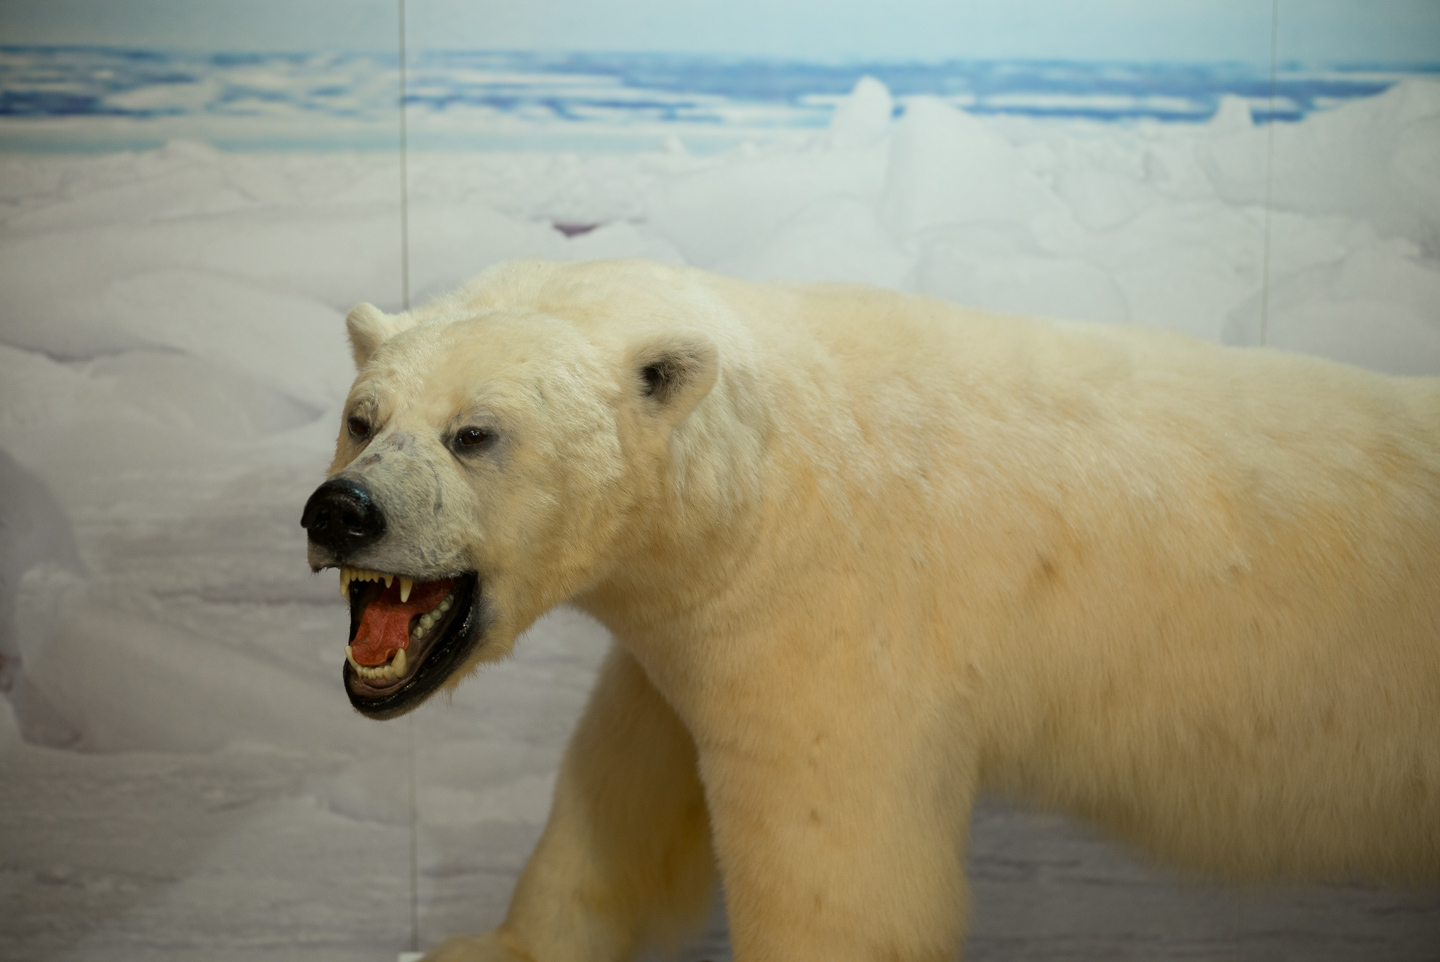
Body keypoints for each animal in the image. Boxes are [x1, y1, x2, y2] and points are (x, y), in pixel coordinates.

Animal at [303, 257, 1440, 962]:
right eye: (363, 416)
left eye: (474, 433)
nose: (342, 510)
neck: (762, 475)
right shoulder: (694, 621)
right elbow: (622, 781)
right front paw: (494, 944)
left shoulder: (834, 621)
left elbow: (833, 856)